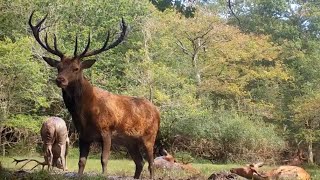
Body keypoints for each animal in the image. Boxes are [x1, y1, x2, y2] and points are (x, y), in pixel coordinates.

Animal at [28, 11, 160, 179]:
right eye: (58, 67)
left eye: (76, 68)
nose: (60, 80)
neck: (86, 112)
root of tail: (157, 112)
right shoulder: (83, 135)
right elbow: (81, 162)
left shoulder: (106, 131)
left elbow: (104, 159)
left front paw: (103, 174)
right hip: (130, 141)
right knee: (139, 162)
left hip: (150, 136)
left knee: (151, 163)